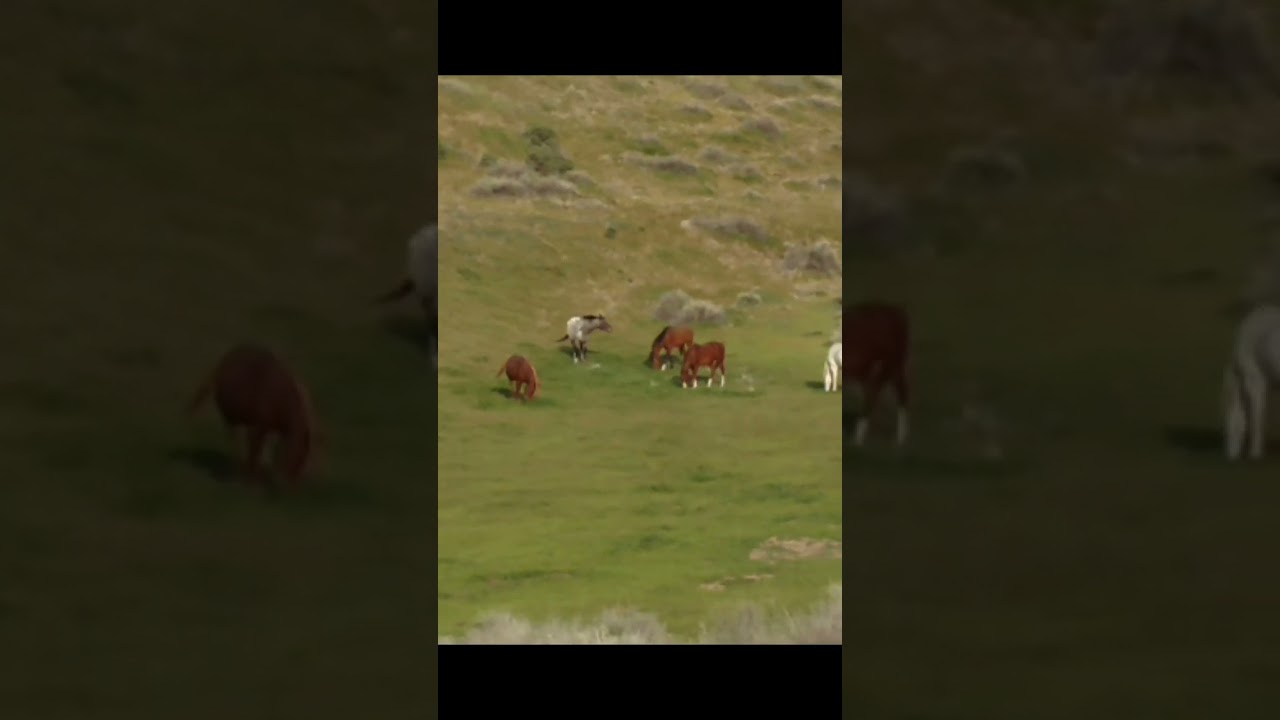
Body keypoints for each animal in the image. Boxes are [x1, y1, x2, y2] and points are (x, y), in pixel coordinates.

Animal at [187, 343, 319, 487]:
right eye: (296, 458)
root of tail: (225, 359)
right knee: (235, 441)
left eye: (303, 461)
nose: (291, 485)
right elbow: (254, 451)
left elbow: (258, 451)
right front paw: (251, 482)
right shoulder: (258, 427)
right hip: (233, 418)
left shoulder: (266, 428)